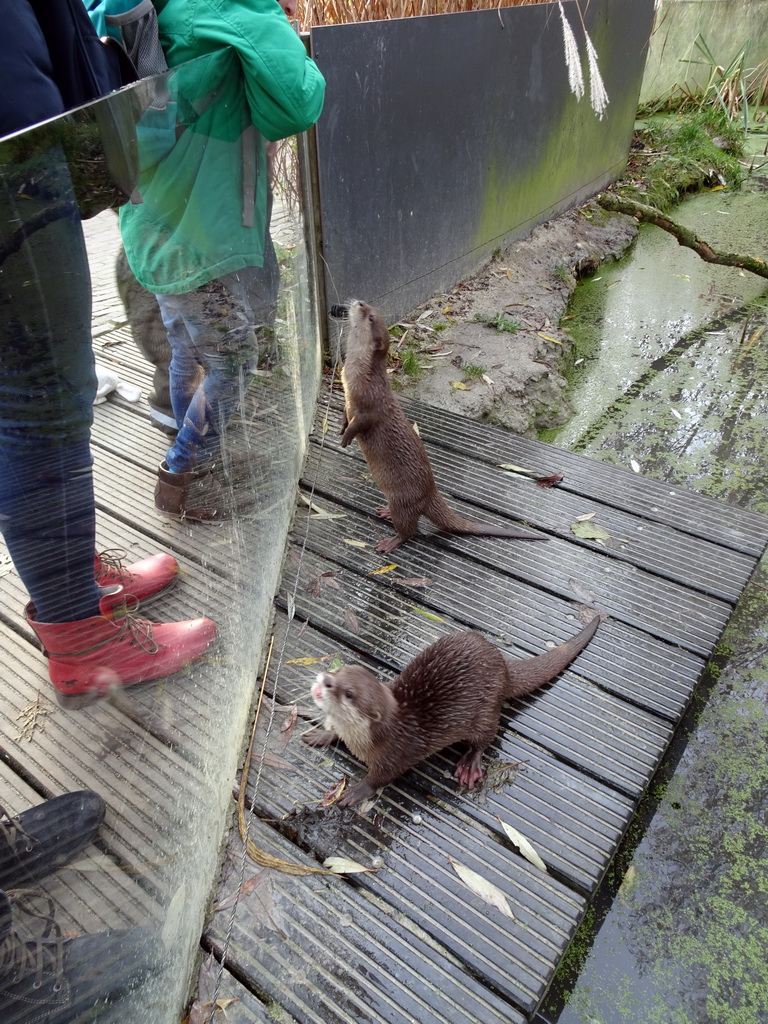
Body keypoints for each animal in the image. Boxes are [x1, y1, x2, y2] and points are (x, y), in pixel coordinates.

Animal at [303, 614, 602, 806]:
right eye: (338, 670)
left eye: (349, 693)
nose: (325, 680)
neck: (368, 739)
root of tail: (504, 666)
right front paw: (322, 734)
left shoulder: (395, 755)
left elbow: (381, 778)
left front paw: (356, 791)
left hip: (485, 712)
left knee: (487, 736)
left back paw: (470, 764)